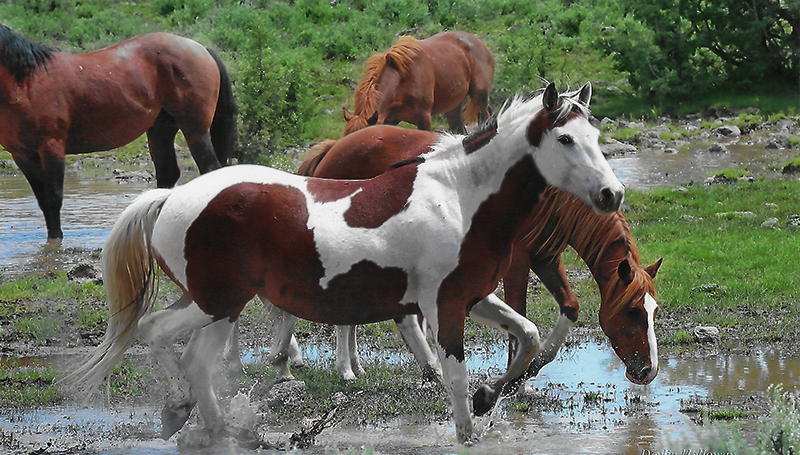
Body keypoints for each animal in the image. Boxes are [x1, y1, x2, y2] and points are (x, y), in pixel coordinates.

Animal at [0, 25, 238, 240]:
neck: (27, 84)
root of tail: (202, 48)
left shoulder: (51, 148)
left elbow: (53, 198)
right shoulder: (23, 156)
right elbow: (43, 201)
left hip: (195, 131)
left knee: (210, 170)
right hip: (161, 130)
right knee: (168, 176)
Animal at [67, 83, 624, 446]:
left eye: (596, 138)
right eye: (565, 140)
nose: (612, 194)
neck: (459, 198)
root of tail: (171, 197)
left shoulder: (471, 297)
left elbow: (527, 334)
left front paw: (492, 394)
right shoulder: (443, 307)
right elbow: (457, 383)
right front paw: (472, 419)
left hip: (219, 307)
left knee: (190, 358)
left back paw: (212, 425)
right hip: (215, 300)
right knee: (159, 335)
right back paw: (188, 413)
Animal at [342, 31, 494, 136]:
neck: (400, 81)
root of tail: (480, 44)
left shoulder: (424, 118)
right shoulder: (390, 120)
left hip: (479, 96)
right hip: (453, 108)